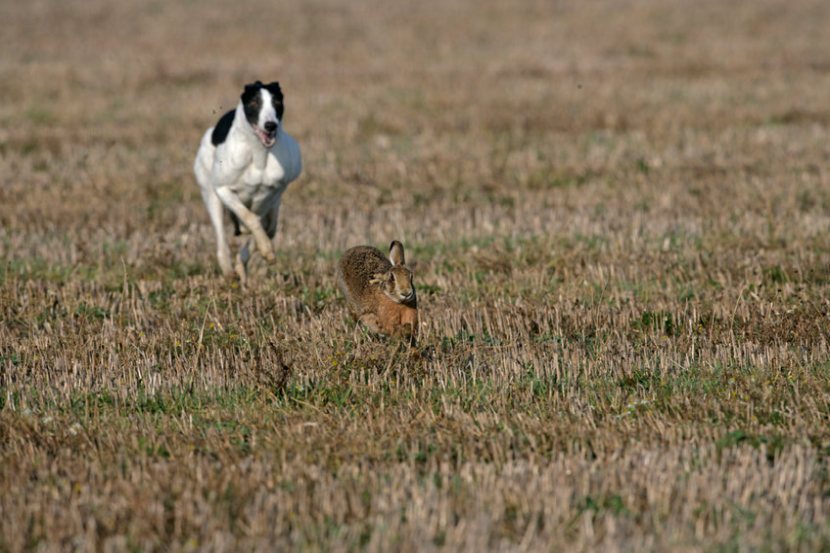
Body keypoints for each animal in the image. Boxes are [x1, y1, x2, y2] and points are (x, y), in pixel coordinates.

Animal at [194, 80, 302, 282]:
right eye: (254, 103)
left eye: (276, 101)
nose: (270, 125)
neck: (259, 154)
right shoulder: (223, 190)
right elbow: (250, 218)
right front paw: (266, 249)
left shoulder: (274, 192)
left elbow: (262, 225)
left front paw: (264, 250)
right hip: (211, 196)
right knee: (222, 238)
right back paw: (229, 270)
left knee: (268, 227)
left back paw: (241, 263)